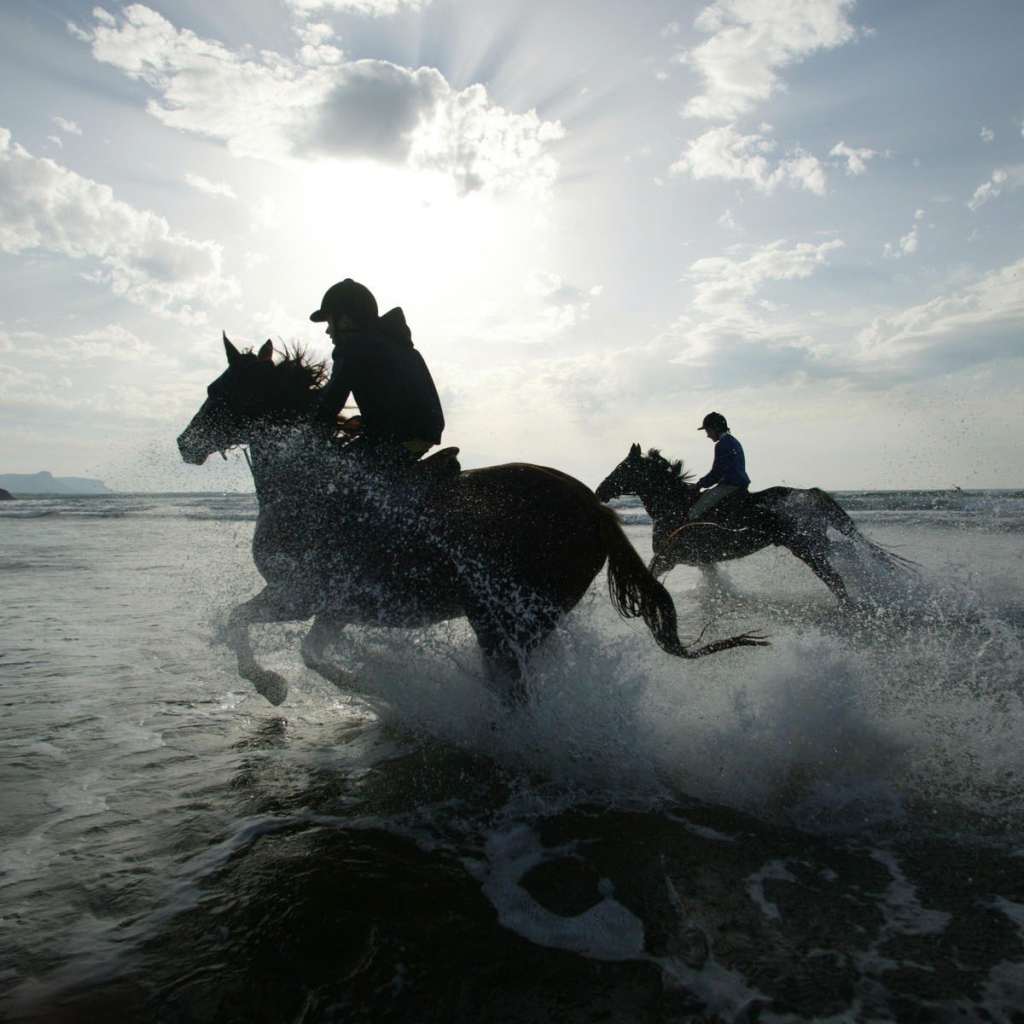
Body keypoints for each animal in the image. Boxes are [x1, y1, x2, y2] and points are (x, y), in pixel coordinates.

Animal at [176, 338, 766, 707]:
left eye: (220, 390)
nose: (186, 444)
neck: (310, 487)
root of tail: (595, 509)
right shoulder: (334, 607)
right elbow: (308, 650)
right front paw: (363, 684)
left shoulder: (298, 593)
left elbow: (240, 621)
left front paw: (273, 685)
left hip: (506, 620)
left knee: (514, 691)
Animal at [595, 444, 913, 604]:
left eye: (623, 467)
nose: (600, 490)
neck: (673, 506)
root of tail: (808, 494)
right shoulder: (702, 560)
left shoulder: (670, 557)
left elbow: (650, 573)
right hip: (815, 541)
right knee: (844, 553)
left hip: (804, 547)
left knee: (834, 578)